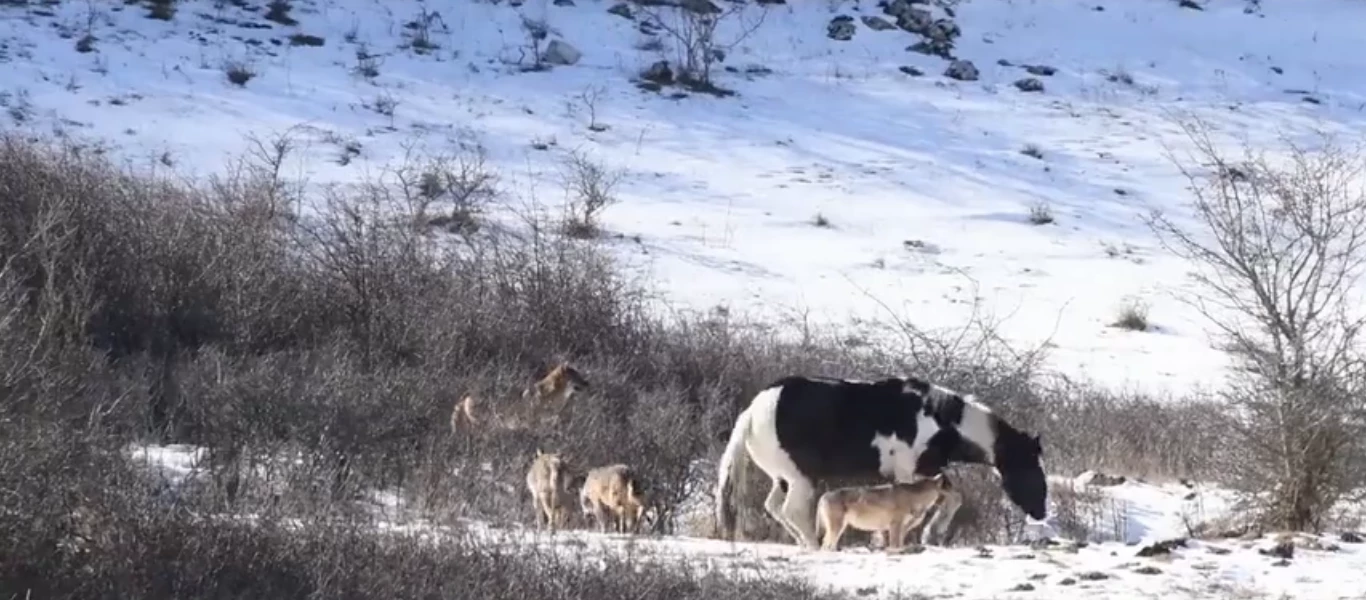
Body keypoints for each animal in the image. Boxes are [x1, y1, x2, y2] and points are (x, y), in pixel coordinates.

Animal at [819, 475, 950, 554]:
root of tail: (824, 495)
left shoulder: (902, 526)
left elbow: (899, 542)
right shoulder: (895, 524)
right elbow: (895, 544)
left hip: (841, 527)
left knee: (826, 544)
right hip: (837, 527)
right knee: (827, 545)